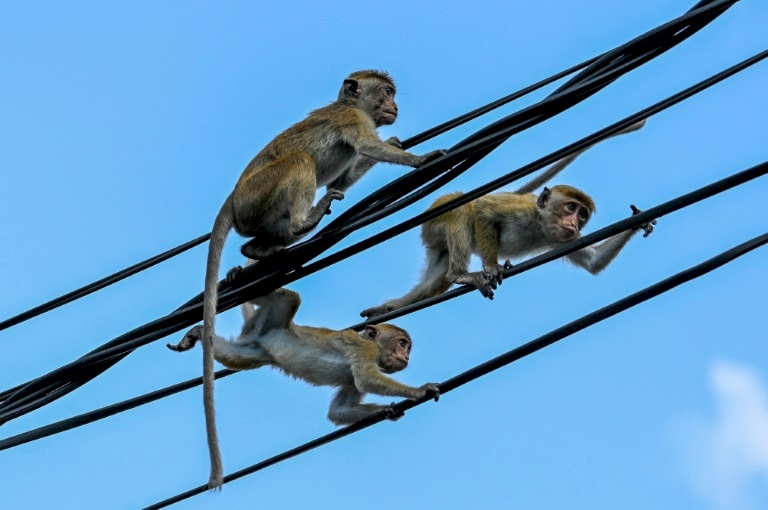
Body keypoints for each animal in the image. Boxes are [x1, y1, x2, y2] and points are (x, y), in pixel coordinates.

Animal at [170, 288, 440, 488]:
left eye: (407, 347)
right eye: (402, 343)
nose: (406, 356)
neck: (370, 343)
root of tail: (261, 333)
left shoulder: (351, 377)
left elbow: (338, 410)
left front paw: (387, 410)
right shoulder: (364, 351)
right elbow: (366, 379)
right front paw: (420, 390)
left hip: (254, 350)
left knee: (233, 355)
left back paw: (199, 332)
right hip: (274, 317)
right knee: (289, 298)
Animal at [201, 69, 448, 488]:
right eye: (387, 92)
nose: (394, 106)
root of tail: (232, 198)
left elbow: (351, 170)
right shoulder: (353, 120)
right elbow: (368, 146)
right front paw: (417, 158)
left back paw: (257, 253)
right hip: (257, 196)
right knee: (301, 161)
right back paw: (304, 222)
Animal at [358, 183, 656, 318]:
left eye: (582, 214)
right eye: (571, 207)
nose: (573, 223)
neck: (540, 223)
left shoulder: (564, 239)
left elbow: (594, 261)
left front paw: (637, 221)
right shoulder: (521, 209)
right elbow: (482, 209)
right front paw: (492, 267)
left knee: (436, 281)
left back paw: (391, 307)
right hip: (437, 215)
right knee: (462, 210)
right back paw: (461, 274)